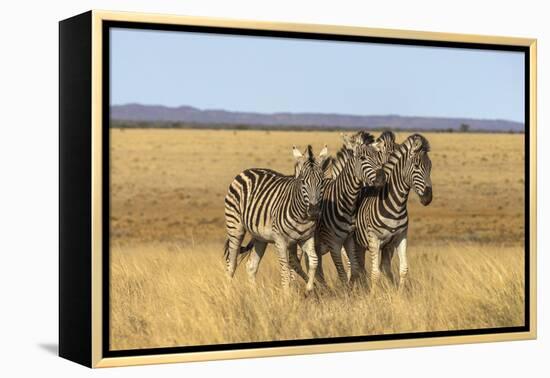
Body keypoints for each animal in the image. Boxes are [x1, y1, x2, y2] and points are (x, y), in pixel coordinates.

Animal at [223, 145, 328, 292]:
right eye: (302, 182)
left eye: (322, 182)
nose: (313, 211)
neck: (302, 217)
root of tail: (246, 171)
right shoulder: (280, 240)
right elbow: (285, 270)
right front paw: (286, 294)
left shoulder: (306, 238)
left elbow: (313, 261)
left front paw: (308, 289)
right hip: (235, 226)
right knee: (231, 263)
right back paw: (227, 292)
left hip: (260, 237)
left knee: (251, 266)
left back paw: (255, 295)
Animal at [354, 133, 436, 290]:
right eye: (416, 166)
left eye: (430, 166)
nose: (428, 198)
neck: (396, 206)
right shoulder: (374, 239)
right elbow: (375, 274)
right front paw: (373, 295)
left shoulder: (400, 238)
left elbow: (403, 269)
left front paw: (398, 294)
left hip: (378, 246)